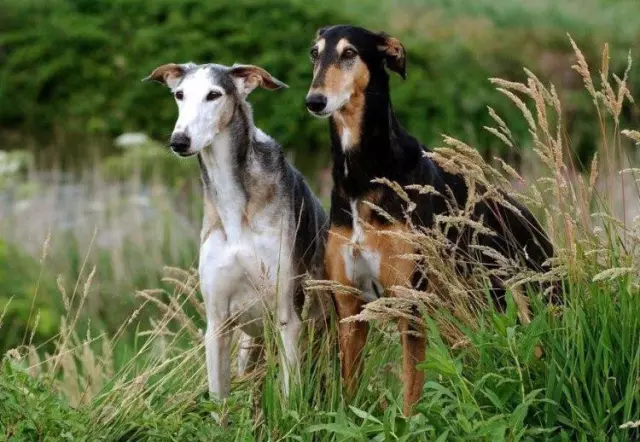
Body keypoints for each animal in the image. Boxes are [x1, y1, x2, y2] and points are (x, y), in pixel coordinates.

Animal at [304, 25, 556, 414]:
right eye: (315, 54)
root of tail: (531, 220)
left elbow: (411, 393)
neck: (364, 176)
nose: (314, 101)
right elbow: (349, 396)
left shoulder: (409, 305)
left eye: (349, 54)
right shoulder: (348, 309)